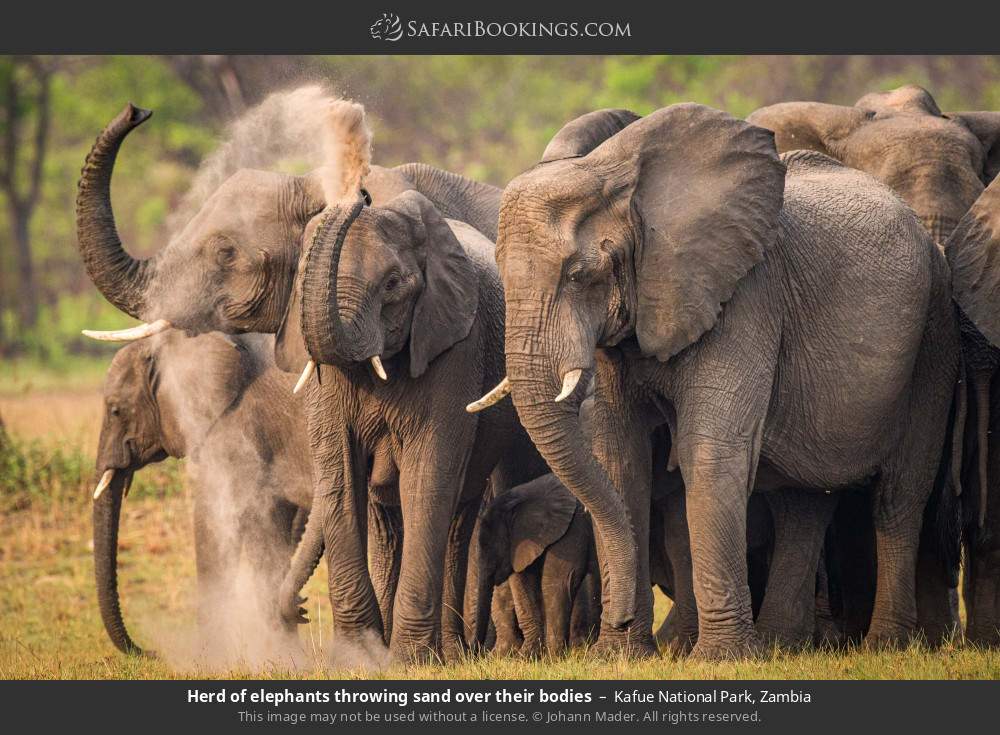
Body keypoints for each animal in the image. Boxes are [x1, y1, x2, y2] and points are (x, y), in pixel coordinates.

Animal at [466, 473, 599, 657]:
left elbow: (559, 582)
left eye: (492, 549)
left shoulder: (571, 528)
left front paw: (552, 658)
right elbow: (525, 578)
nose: (472, 651)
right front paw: (527, 656)